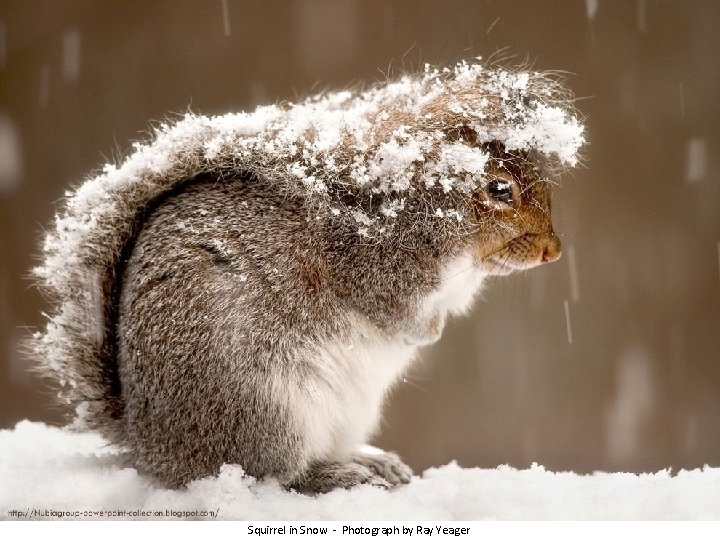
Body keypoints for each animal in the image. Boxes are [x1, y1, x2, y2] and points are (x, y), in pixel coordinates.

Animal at [29, 61, 584, 492]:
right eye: (500, 189)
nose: (554, 251)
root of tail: (153, 448)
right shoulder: (373, 268)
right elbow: (394, 311)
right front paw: (425, 332)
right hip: (266, 408)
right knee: (275, 473)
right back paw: (335, 475)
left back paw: (367, 461)